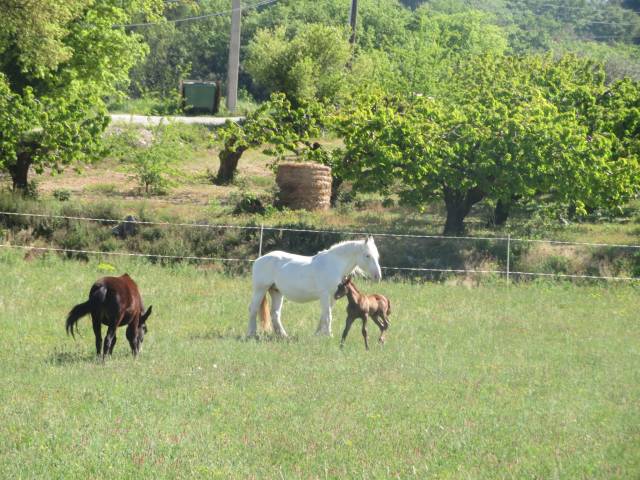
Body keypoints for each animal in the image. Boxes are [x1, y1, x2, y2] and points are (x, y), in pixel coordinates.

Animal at [248, 236, 382, 338]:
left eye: (377, 256)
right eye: (367, 255)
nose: (378, 276)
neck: (334, 264)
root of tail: (259, 259)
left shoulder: (332, 297)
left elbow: (324, 315)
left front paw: (318, 334)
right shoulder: (325, 295)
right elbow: (328, 315)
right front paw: (329, 335)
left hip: (276, 292)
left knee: (275, 313)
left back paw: (283, 335)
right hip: (260, 289)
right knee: (253, 309)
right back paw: (251, 334)